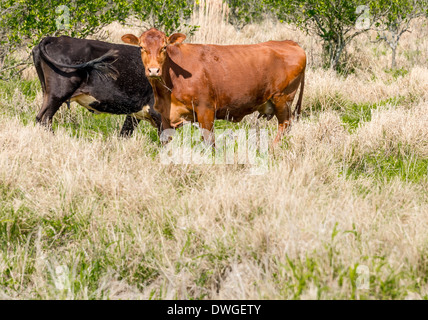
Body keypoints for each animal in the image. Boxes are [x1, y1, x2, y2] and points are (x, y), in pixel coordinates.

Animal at [31, 35, 161, 136]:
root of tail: (54, 38)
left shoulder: (134, 114)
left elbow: (124, 134)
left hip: (47, 92)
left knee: (40, 118)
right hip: (58, 94)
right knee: (45, 118)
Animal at [122, 28, 306, 146]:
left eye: (164, 47)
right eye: (141, 47)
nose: (153, 70)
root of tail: (290, 43)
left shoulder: (206, 110)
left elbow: (209, 142)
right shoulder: (166, 116)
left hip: (283, 99)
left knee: (285, 124)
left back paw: (273, 148)